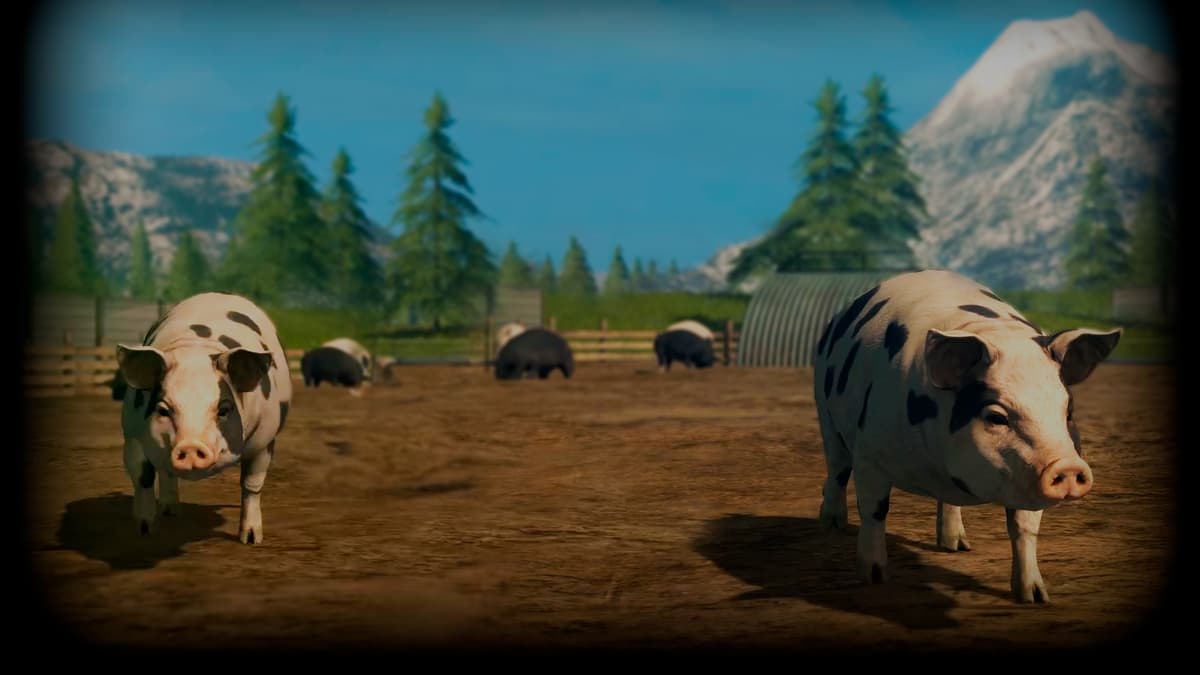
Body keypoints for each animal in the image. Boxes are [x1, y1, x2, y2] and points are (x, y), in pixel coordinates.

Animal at [116, 292, 292, 545]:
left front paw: (250, 540)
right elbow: (143, 476)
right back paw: (170, 512)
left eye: (224, 410)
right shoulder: (131, 433)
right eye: (163, 409)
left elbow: (251, 483)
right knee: (166, 473)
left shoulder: (265, 440)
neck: (196, 352)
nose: (190, 445)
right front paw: (144, 531)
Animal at [812, 269, 1120, 603]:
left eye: (1068, 413)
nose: (1067, 467)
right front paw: (874, 579)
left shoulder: (1025, 475)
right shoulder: (870, 452)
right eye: (996, 416)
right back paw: (831, 527)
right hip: (825, 413)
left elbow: (1024, 529)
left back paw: (957, 546)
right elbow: (874, 510)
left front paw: (1036, 598)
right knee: (836, 469)